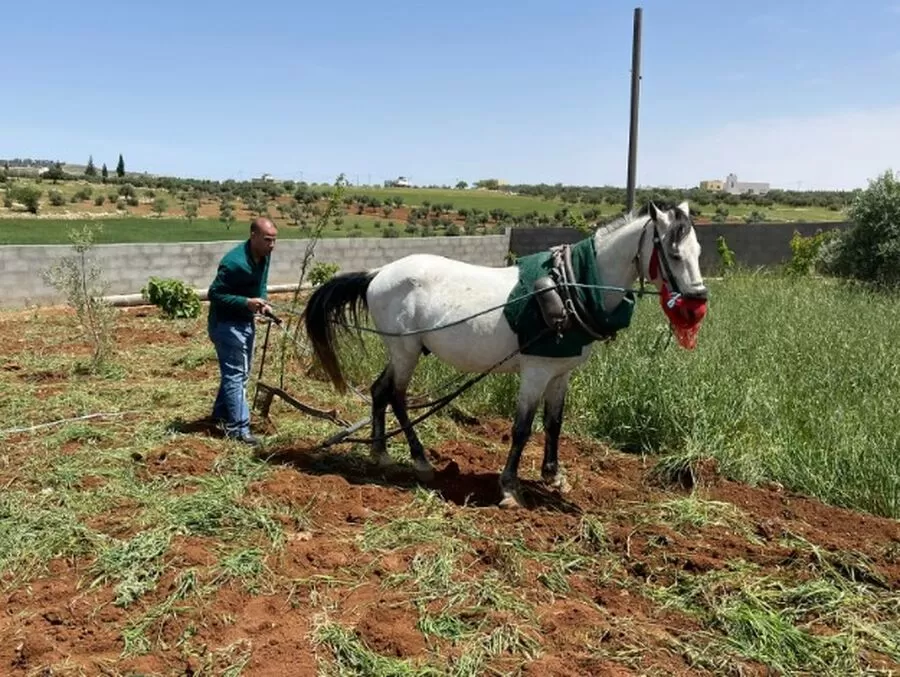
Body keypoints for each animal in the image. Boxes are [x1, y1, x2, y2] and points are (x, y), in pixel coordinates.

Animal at [302, 201, 712, 508]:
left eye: (698, 251)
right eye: (673, 252)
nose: (697, 303)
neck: (570, 289)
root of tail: (378, 273)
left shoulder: (560, 373)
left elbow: (554, 423)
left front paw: (554, 475)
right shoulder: (535, 371)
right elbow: (522, 428)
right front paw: (510, 487)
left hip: (403, 350)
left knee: (379, 390)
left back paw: (380, 453)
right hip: (405, 350)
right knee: (397, 396)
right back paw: (418, 460)